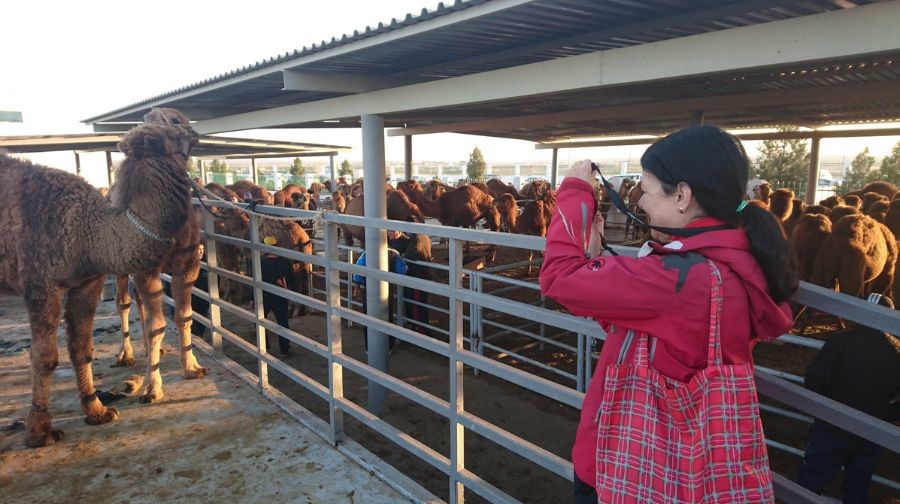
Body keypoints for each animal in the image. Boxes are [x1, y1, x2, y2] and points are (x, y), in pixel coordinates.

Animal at [0, 116, 199, 446]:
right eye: (168, 132)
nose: (193, 132)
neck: (85, 229)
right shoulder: (41, 282)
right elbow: (44, 356)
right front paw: (39, 432)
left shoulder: (87, 281)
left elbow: (82, 348)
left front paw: (97, 411)